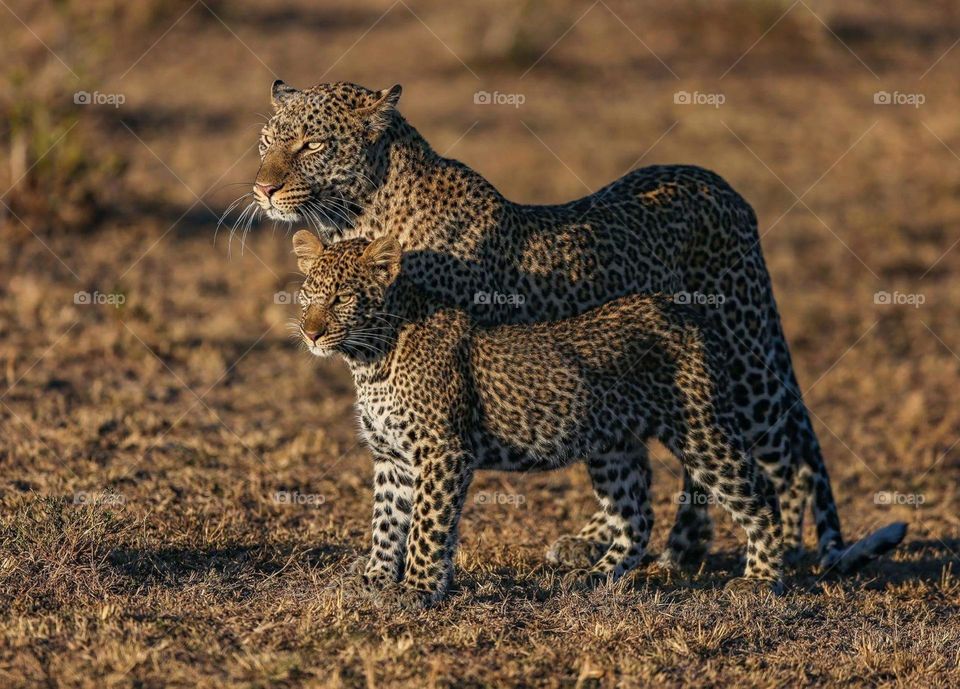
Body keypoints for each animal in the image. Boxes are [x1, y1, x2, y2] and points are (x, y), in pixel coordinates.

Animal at [292, 230, 786, 607]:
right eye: (307, 297)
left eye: (342, 298)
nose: (310, 333)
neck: (368, 361)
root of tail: (685, 310)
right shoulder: (393, 458)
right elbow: (386, 522)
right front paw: (375, 578)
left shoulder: (443, 452)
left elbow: (426, 526)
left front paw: (417, 589)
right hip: (612, 448)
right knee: (637, 516)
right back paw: (594, 575)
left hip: (700, 431)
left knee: (760, 492)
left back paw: (762, 579)